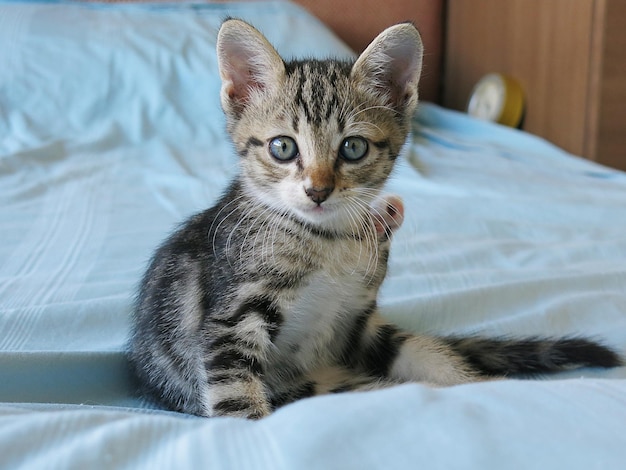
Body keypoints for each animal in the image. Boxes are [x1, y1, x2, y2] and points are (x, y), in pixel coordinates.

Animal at [128, 20, 620, 420]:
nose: (318, 190)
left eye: (353, 148)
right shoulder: (231, 318)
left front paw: (490, 390)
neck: (327, 240)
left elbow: (432, 359)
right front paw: (245, 426)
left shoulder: (357, 324)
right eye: (282, 147)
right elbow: (234, 393)